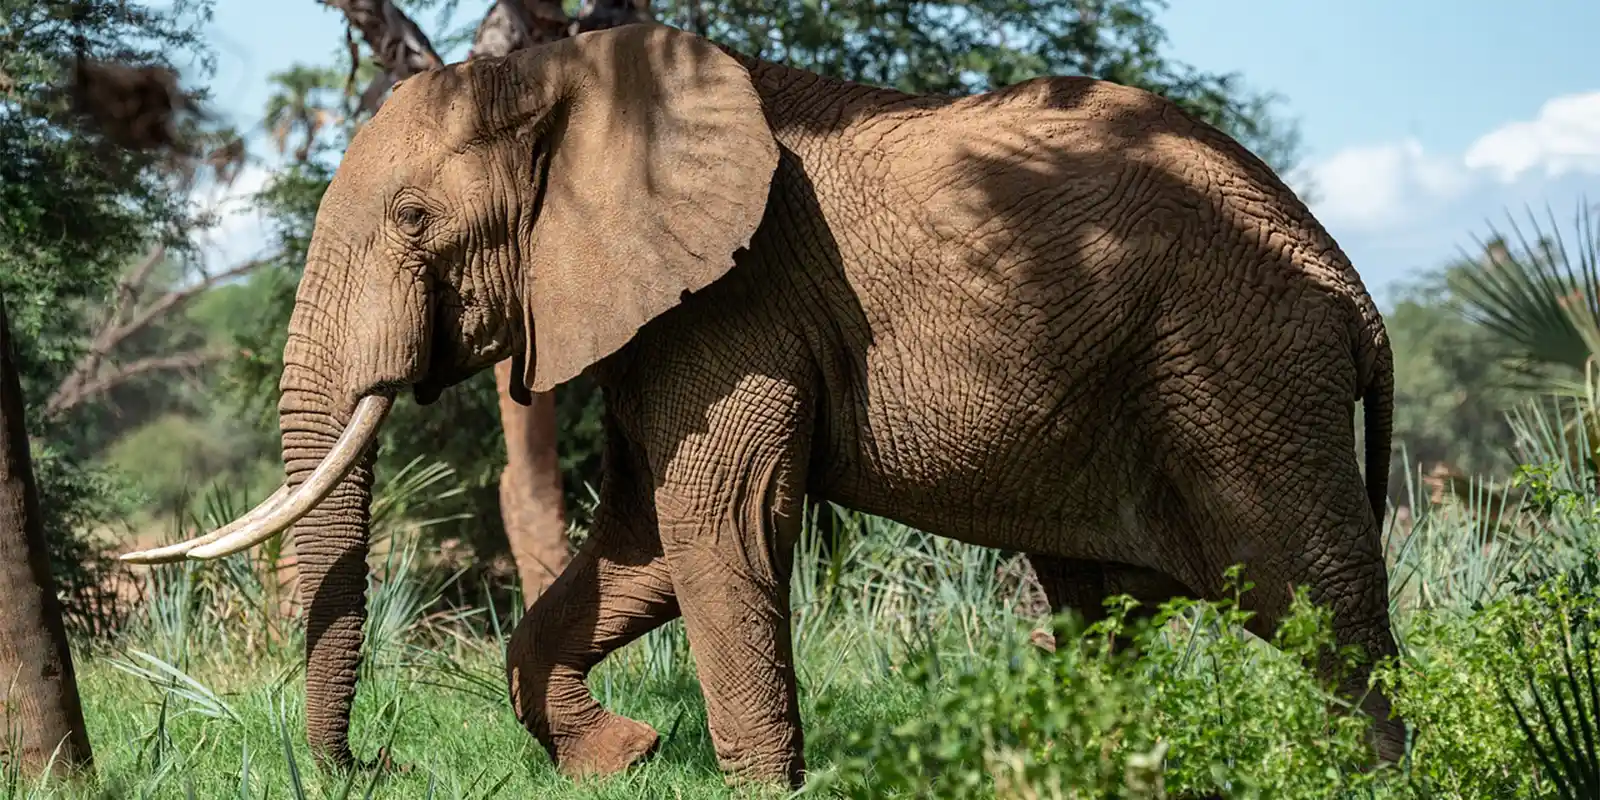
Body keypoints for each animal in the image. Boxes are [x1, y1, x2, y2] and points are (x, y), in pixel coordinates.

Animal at [124, 22, 1405, 788]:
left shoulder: (736, 302)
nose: (372, 764)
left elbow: (718, 525)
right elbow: (641, 543)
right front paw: (622, 755)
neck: (569, 73)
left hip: (1244, 374)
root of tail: (1352, 285)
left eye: (413, 221)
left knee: (1323, 609)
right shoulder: (661, 312)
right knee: (1107, 611)